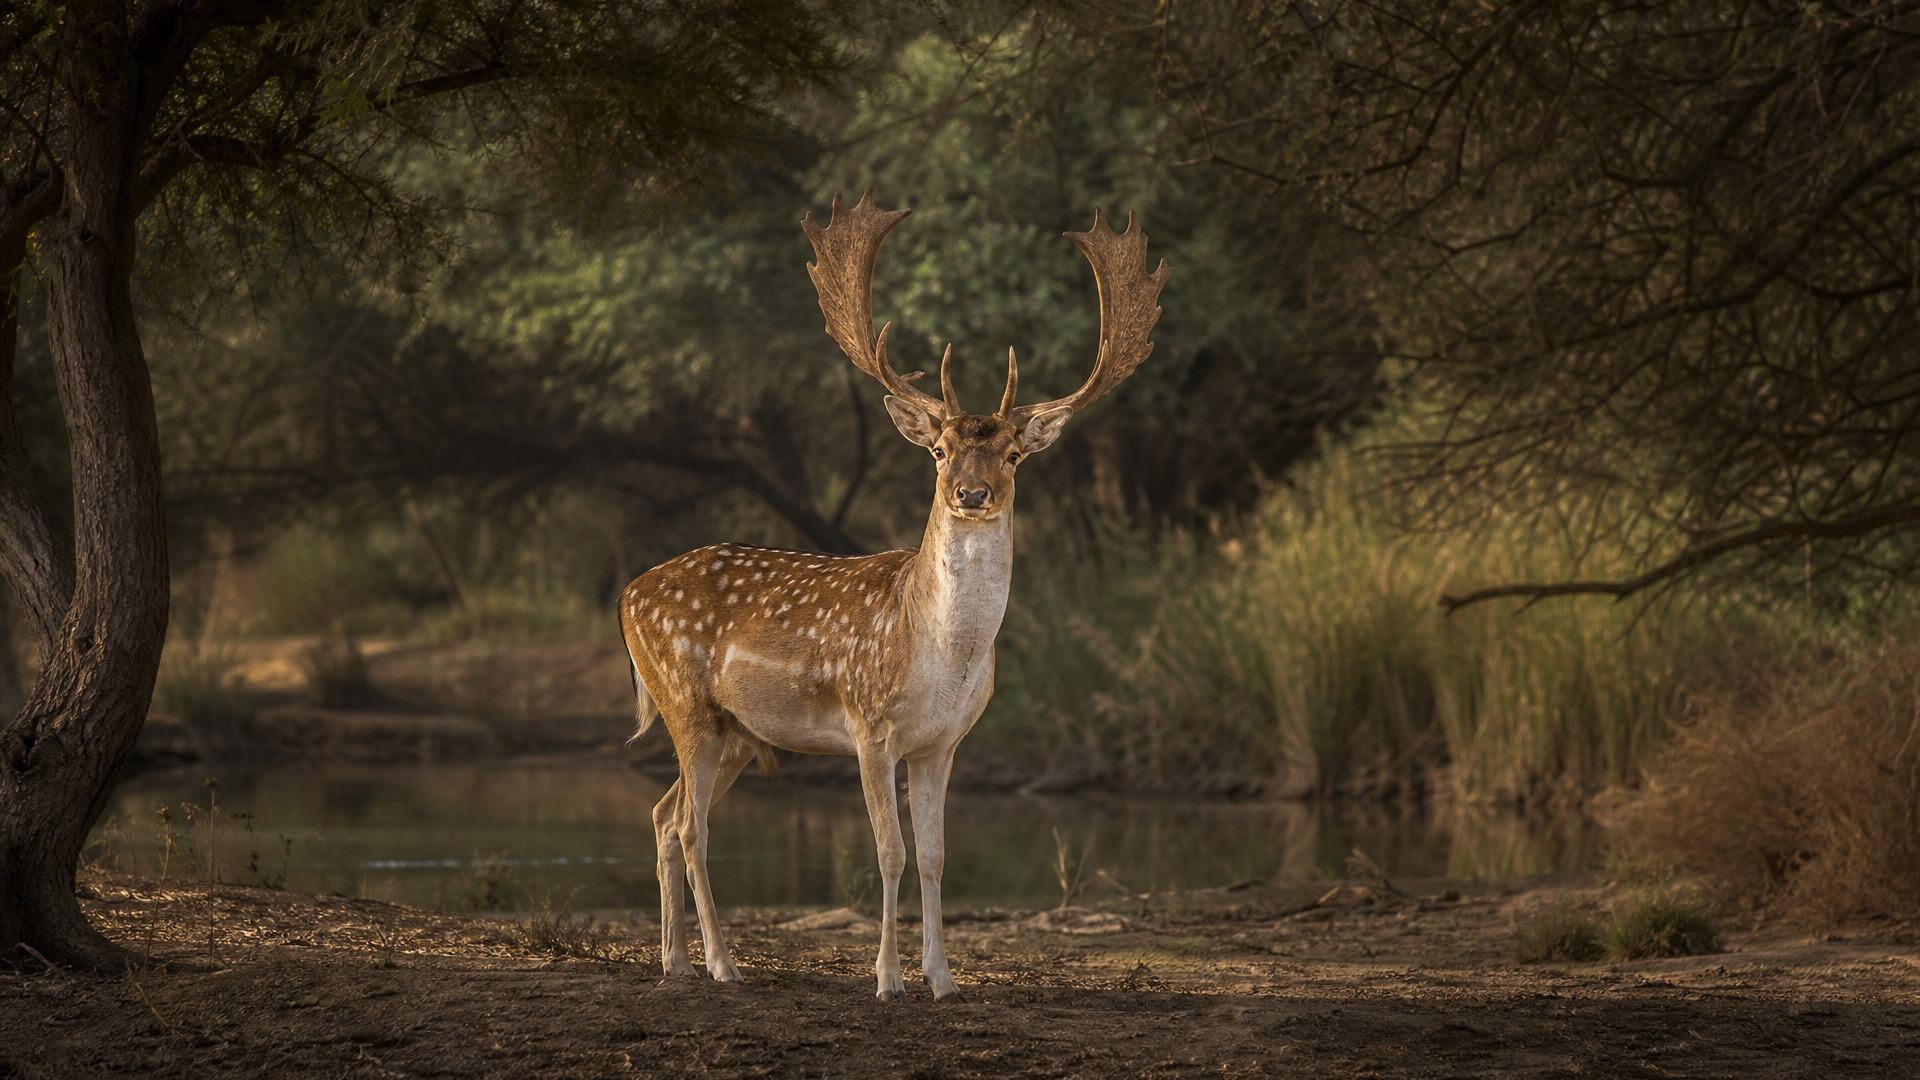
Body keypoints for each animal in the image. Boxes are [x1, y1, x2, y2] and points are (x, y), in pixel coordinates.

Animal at [618, 190, 1169, 1002]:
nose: (971, 493)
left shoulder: (943, 743)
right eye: (939, 450)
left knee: (663, 814)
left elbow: (936, 857)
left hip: (736, 730)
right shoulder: (869, 725)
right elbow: (889, 853)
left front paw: (945, 978)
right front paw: (887, 980)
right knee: (691, 827)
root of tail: (628, 592)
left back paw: (675, 960)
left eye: (1012, 454)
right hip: (685, 700)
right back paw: (722, 963)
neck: (938, 654)